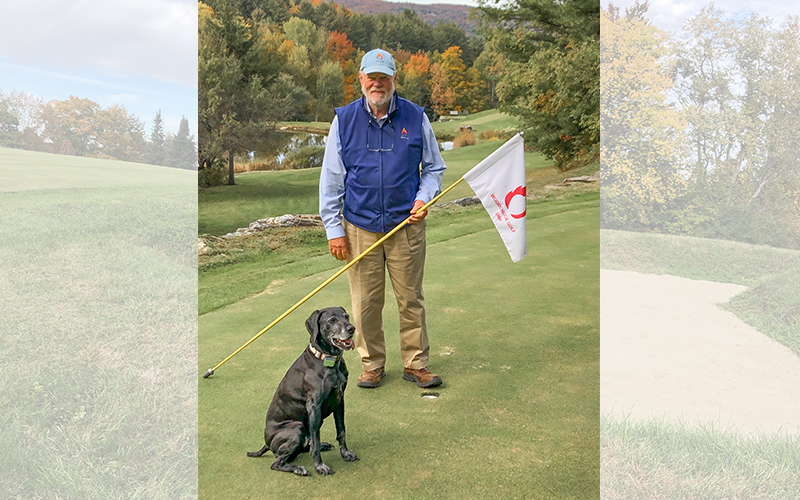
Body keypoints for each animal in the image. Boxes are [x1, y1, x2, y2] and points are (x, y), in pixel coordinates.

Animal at [247, 306, 360, 474]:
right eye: (332, 320)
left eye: (346, 316)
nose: (351, 328)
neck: (326, 359)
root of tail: (266, 443)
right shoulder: (314, 406)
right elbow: (315, 440)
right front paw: (319, 466)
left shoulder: (339, 400)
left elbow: (341, 431)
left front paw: (346, 453)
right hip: (297, 427)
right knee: (277, 462)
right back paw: (298, 469)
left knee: (305, 446)